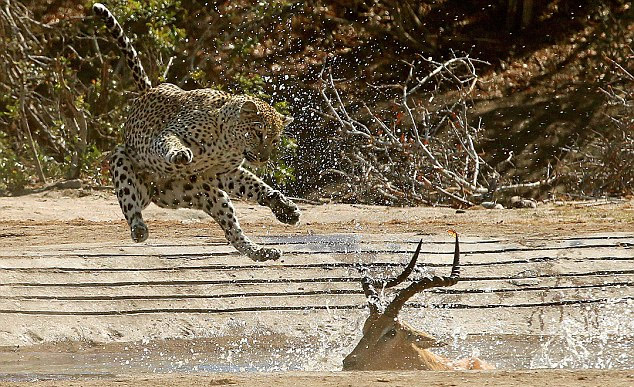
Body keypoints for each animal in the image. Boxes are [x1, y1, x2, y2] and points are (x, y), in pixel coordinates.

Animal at [92, 3, 300, 262]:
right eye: (258, 133)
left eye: (275, 139)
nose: (263, 158)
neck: (227, 144)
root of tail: (147, 91)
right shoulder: (170, 134)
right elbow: (171, 143)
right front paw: (181, 155)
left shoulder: (223, 173)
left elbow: (254, 185)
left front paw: (284, 206)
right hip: (123, 162)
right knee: (129, 201)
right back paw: (138, 228)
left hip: (206, 193)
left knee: (232, 232)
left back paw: (261, 251)